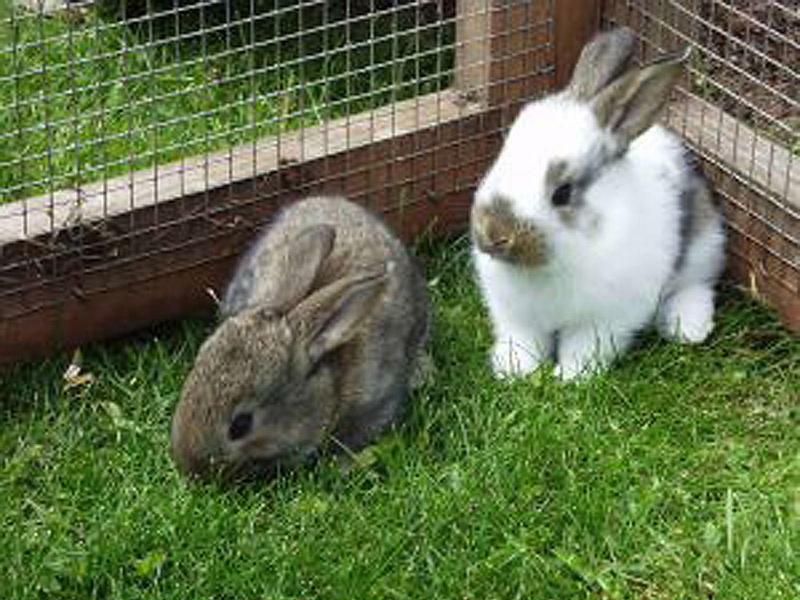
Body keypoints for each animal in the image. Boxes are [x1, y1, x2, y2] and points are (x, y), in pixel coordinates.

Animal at [472, 28, 728, 380]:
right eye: (502, 156)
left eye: (562, 193)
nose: (492, 233)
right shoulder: (517, 318)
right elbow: (524, 342)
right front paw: (512, 371)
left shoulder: (602, 320)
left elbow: (583, 347)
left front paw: (570, 377)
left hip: (704, 247)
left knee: (697, 285)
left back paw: (687, 328)